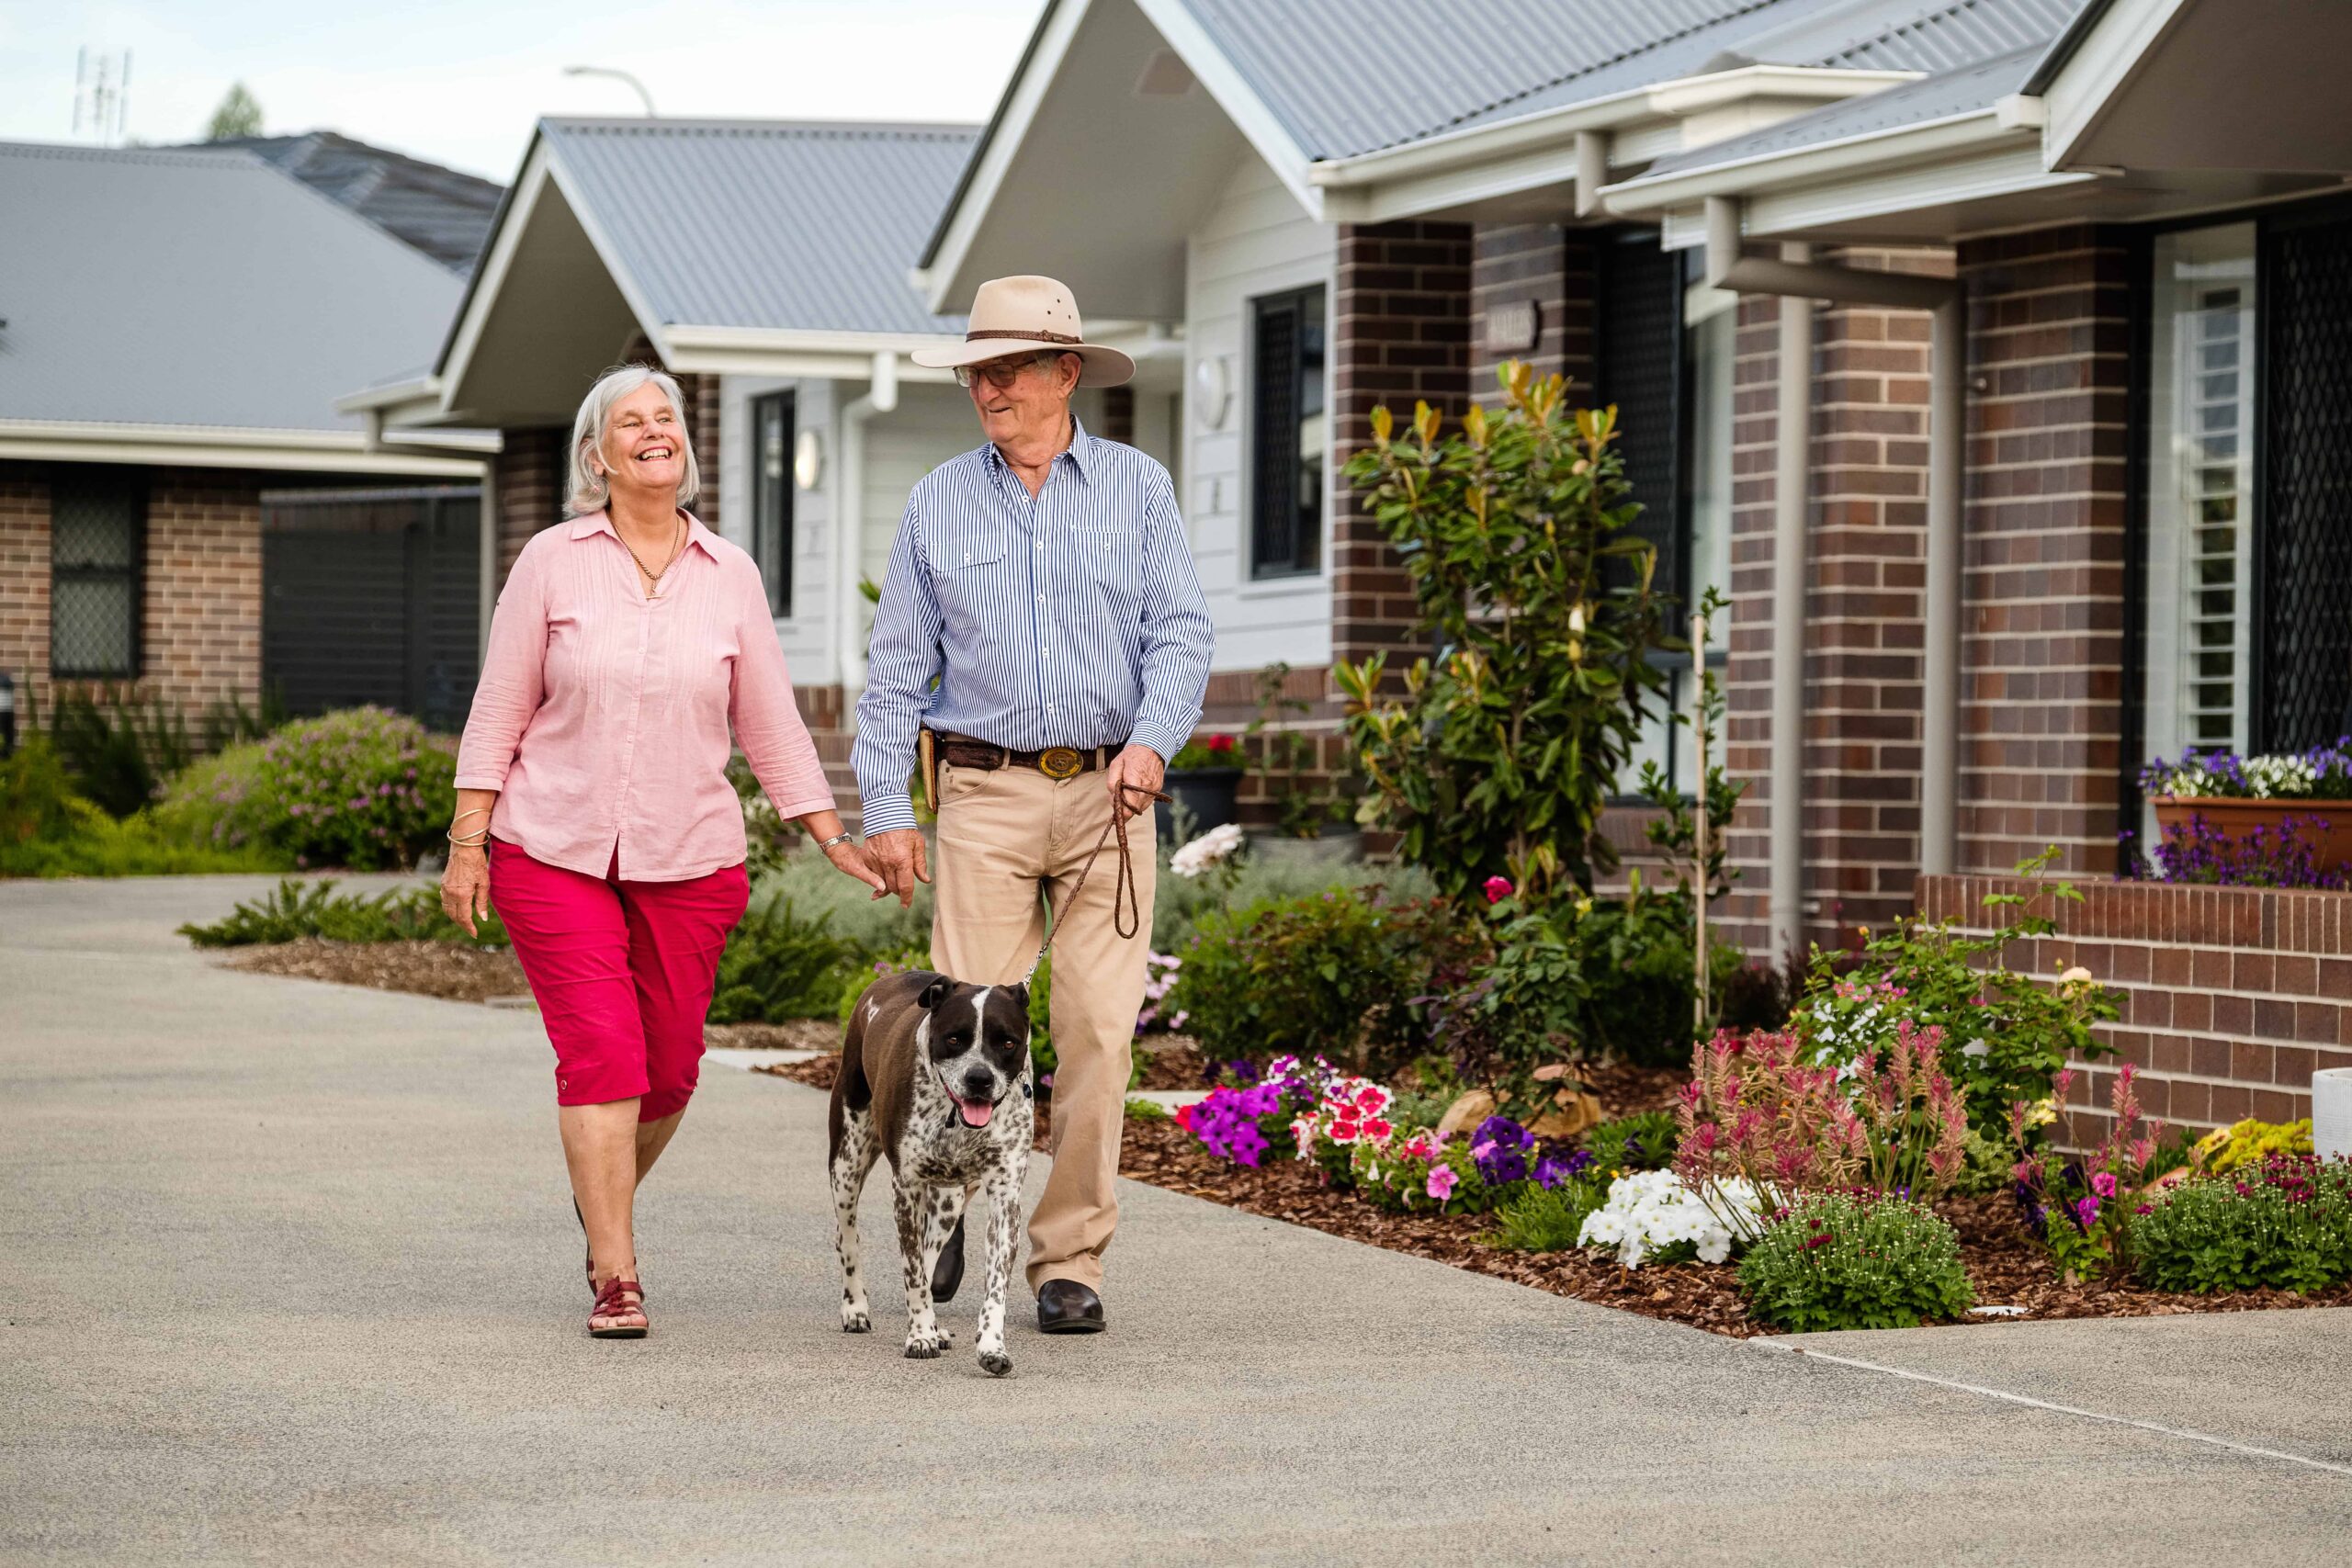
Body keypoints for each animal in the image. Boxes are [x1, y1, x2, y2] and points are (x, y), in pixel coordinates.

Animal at [837, 964, 1039, 1382]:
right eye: (955, 1038)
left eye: (1007, 1043)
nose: (979, 1079)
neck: (955, 1120)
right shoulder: (906, 1189)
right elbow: (913, 1273)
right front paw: (919, 1336)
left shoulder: (1005, 1199)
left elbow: (994, 1286)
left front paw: (991, 1346)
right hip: (847, 1162)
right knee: (847, 1237)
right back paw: (856, 1308)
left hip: (949, 1202)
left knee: (932, 1253)